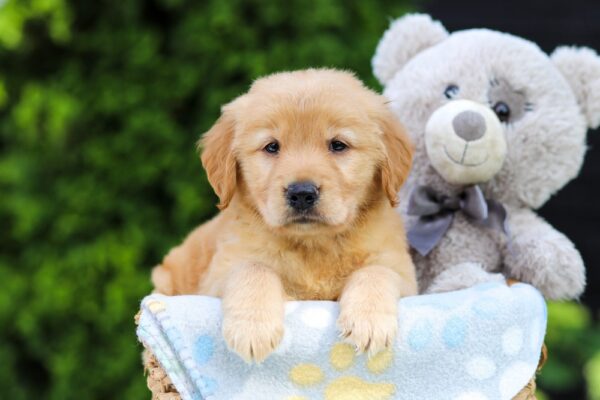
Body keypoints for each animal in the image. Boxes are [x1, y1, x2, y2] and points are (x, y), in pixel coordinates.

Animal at [151, 68, 418, 362]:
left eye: (338, 145)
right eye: (271, 147)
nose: (301, 193)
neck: (313, 245)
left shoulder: (402, 271)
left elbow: (376, 271)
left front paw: (368, 322)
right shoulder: (218, 276)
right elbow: (254, 268)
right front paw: (252, 328)